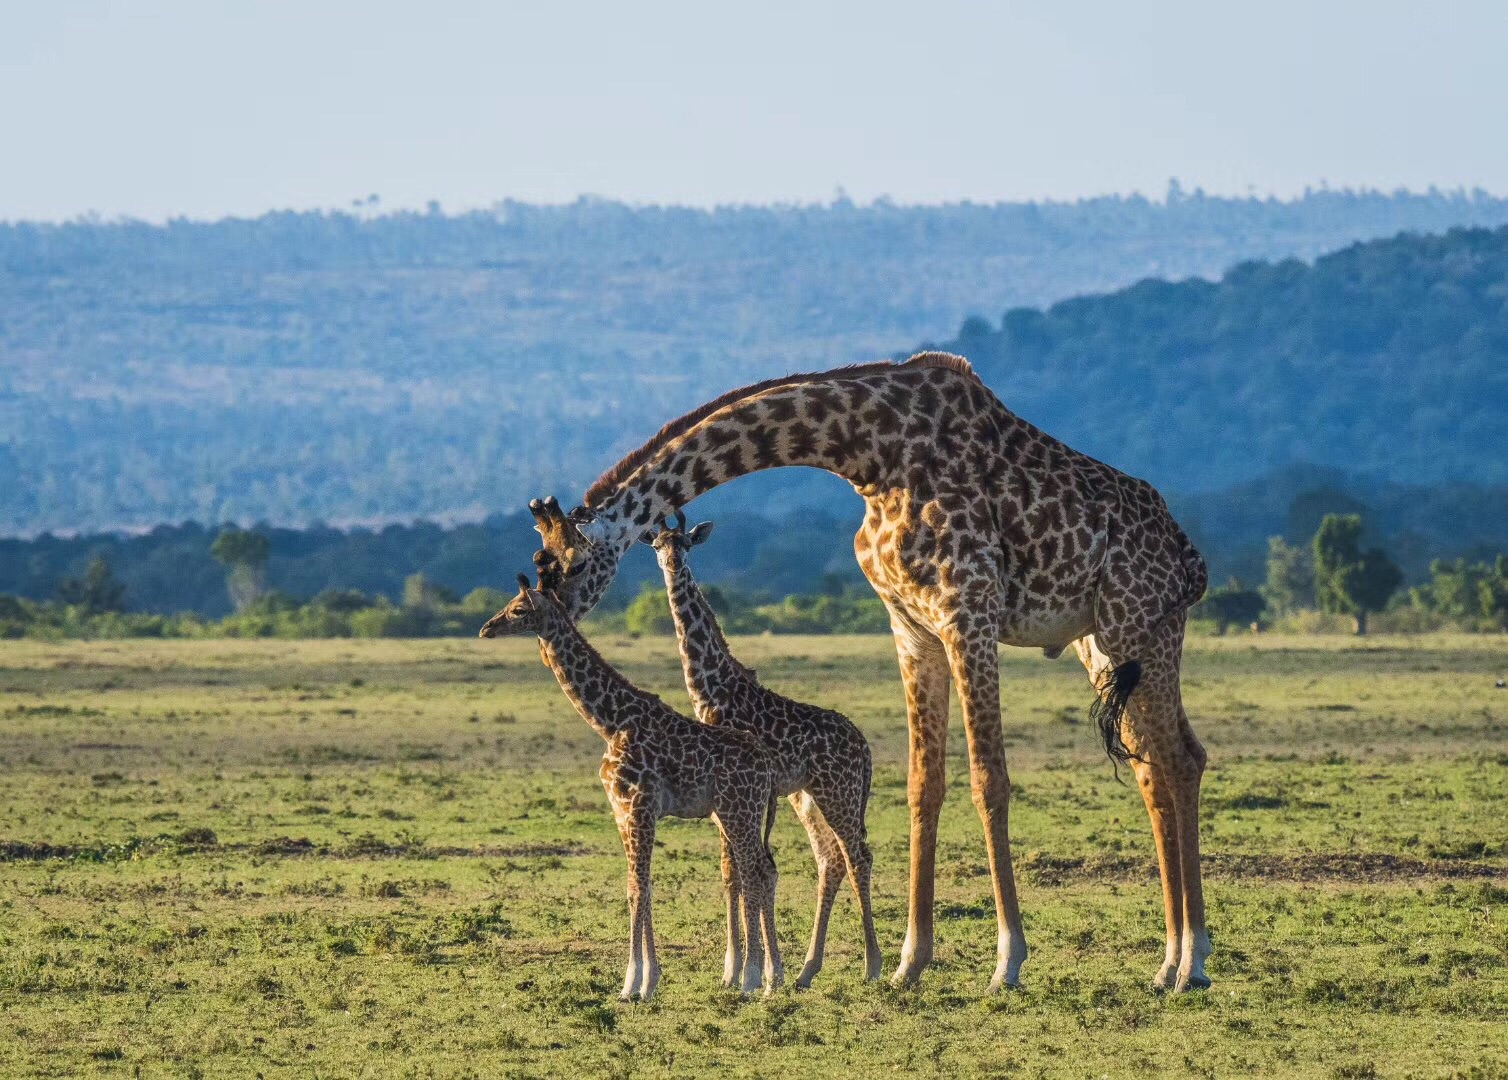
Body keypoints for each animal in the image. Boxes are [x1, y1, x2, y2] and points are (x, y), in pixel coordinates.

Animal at [482, 570, 790, 1001]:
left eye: (518, 609)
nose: (487, 628)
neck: (611, 722)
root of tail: (768, 766)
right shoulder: (620, 809)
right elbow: (634, 887)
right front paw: (638, 983)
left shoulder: (641, 805)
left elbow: (640, 888)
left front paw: (639, 981)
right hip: (736, 813)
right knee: (763, 871)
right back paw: (770, 975)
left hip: (738, 811)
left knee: (756, 873)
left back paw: (752, 978)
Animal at [530, 349, 1212, 989]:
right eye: (542, 564)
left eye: (563, 564)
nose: (547, 618)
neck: (867, 453)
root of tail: (1189, 557)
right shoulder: (912, 628)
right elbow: (921, 785)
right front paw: (910, 960)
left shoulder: (969, 612)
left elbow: (988, 781)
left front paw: (1007, 960)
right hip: (1103, 642)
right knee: (1158, 764)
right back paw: (1169, 960)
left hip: (1140, 625)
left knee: (1178, 759)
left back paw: (1190, 961)